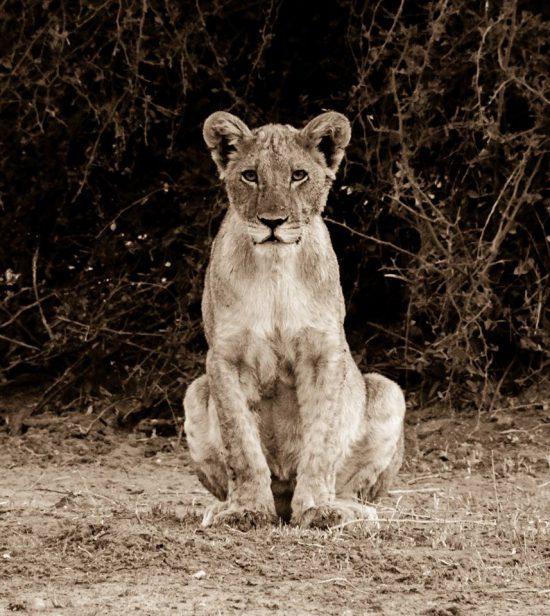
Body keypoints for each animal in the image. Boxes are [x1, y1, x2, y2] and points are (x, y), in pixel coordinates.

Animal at [184, 110, 406, 528]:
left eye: (298, 175)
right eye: (250, 175)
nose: (273, 221)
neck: (275, 269)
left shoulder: (325, 354)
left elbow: (322, 439)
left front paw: (318, 508)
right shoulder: (224, 358)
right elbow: (241, 443)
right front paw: (246, 509)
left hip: (388, 390)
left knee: (358, 491)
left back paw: (350, 510)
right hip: (195, 392)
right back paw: (226, 507)